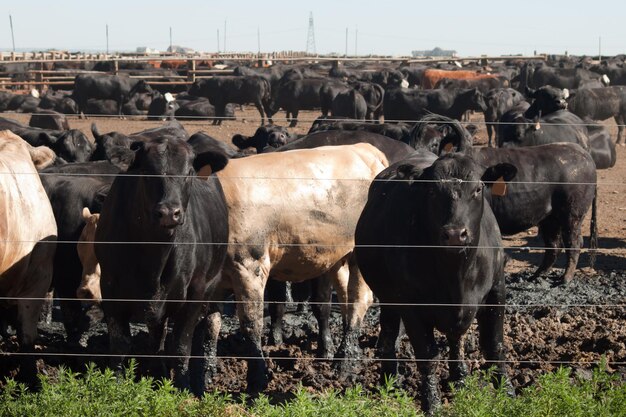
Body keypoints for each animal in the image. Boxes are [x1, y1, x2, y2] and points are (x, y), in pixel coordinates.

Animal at [96, 136, 230, 394]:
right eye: (148, 172)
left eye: (188, 173)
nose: (169, 213)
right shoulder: (109, 286)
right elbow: (119, 343)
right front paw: (115, 385)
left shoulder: (195, 293)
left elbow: (181, 345)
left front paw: (183, 388)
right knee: (157, 337)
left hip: (213, 284)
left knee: (207, 328)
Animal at [199, 142, 386, 390]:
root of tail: (363, 148)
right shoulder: (216, 283)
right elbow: (211, 326)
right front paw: (206, 376)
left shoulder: (250, 268)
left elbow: (251, 324)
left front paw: (257, 379)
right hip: (338, 256)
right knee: (346, 298)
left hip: (360, 254)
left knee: (359, 300)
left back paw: (343, 364)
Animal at [354, 151, 516, 412]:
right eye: (431, 191)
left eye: (478, 188)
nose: (455, 234)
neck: (456, 274)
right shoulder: (411, 306)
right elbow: (427, 355)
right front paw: (432, 401)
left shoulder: (496, 291)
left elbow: (494, 344)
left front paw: (507, 391)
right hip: (387, 299)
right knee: (388, 338)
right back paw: (390, 384)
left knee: (456, 339)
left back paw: (460, 379)